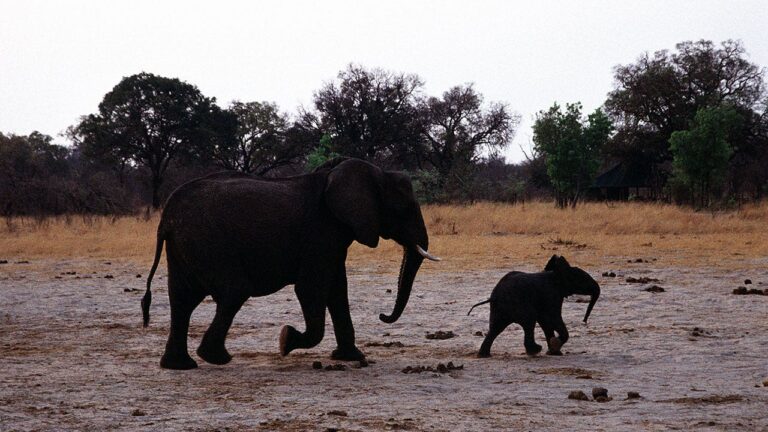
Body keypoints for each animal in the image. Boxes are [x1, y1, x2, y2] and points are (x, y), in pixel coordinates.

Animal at [140, 157, 438, 370]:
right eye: (404, 209)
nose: (382, 316)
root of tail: (166, 216)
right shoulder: (320, 233)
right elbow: (311, 289)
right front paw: (286, 341)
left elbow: (337, 291)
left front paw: (351, 357)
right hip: (207, 241)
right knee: (234, 291)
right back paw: (216, 358)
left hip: (185, 244)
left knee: (182, 300)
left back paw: (179, 366)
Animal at [468, 256, 600, 358]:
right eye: (583, 279)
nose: (584, 321)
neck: (555, 273)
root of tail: (495, 296)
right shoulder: (551, 295)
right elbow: (553, 318)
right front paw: (555, 346)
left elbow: (546, 322)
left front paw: (554, 351)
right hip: (518, 304)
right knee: (528, 322)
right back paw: (535, 351)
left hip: (499, 310)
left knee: (495, 328)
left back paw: (483, 355)